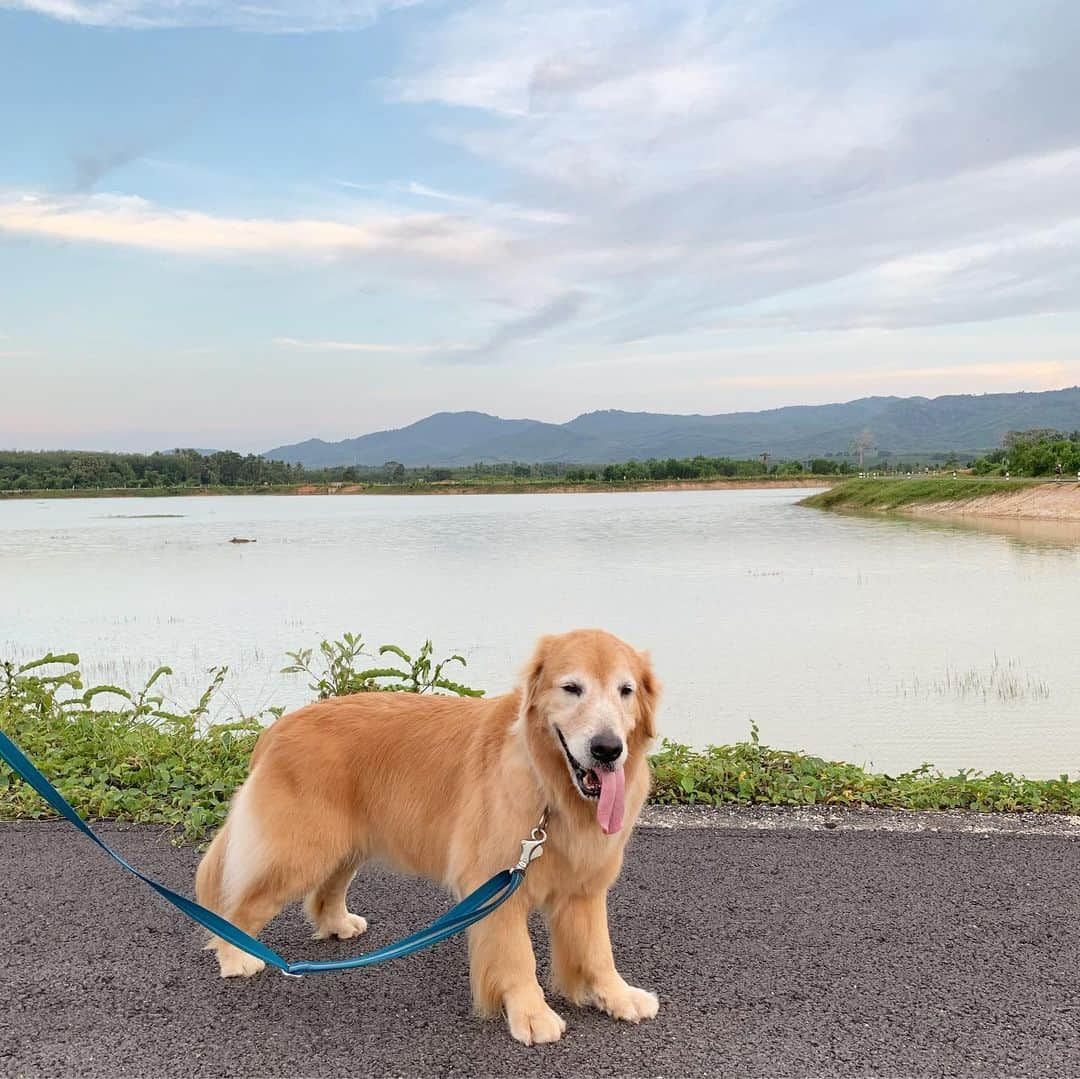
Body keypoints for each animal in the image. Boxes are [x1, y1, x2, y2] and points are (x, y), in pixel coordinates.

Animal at [198, 630, 660, 1041]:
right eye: (571, 688)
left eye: (625, 690)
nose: (607, 749)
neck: (552, 788)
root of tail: (275, 730)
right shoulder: (498, 883)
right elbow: (518, 957)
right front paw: (531, 1014)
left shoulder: (585, 887)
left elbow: (598, 950)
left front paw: (617, 995)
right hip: (300, 851)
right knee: (237, 910)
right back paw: (236, 955)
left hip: (345, 844)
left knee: (324, 893)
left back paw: (338, 924)